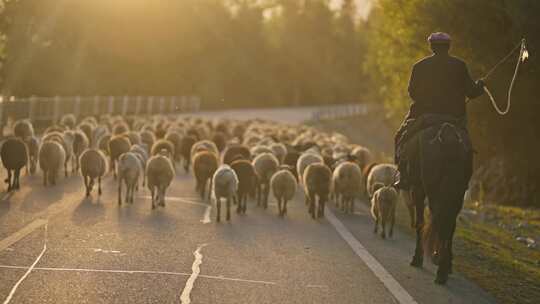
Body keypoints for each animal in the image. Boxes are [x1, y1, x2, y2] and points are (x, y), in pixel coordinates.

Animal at [408, 121, 470, 284]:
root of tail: (450, 138)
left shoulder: (417, 189)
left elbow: (420, 223)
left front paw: (418, 257)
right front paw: (446, 262)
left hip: (432, 191)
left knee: (440, 225)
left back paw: (439, 270)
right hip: (456, 196)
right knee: (448, 226)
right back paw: (443, 267)